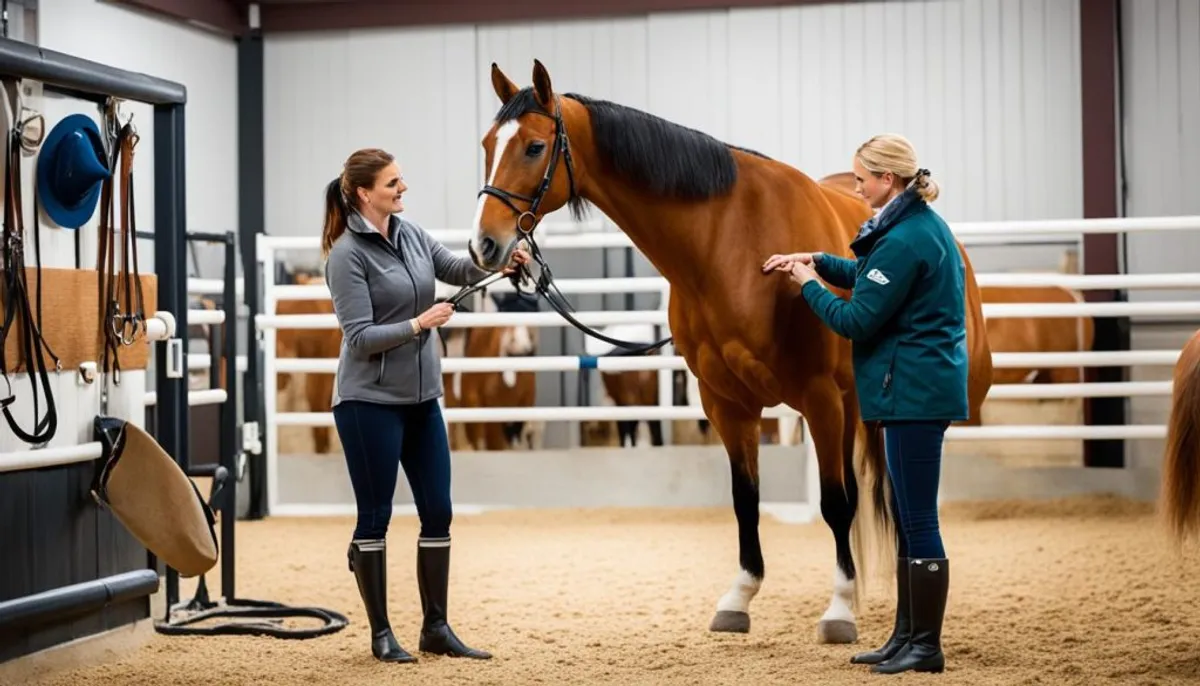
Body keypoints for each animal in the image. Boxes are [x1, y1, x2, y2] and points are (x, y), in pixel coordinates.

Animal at [470, 60, 993, 642]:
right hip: (855, 404)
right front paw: (739, 597)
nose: (484, 245)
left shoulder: (818, 398)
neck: (730, 245)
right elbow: (746, 500)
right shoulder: (726, 403)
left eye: (535, 147)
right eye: (488, 144)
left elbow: (835, 504)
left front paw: (838, 608)